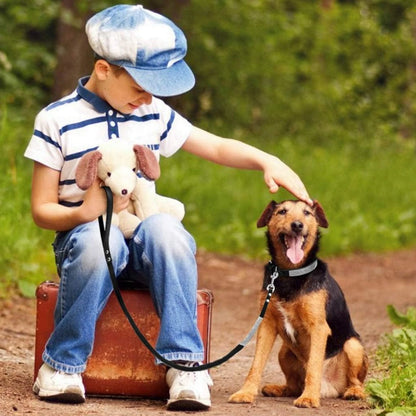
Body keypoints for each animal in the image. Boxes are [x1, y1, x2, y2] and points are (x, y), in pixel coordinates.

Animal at [228, 200, 368, 408]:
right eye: (282, 211)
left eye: (307, 213)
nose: (297, 225)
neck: (290, 273)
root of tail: (330, 389)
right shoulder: (266, 324)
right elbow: (256, 365)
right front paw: (245, 393)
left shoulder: (318, 328)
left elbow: (314, 366)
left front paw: (309, 397)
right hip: (284, 352)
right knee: (293, 385)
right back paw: (278, 389)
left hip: (353, 346)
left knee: (355, 381)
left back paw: (353, 392)